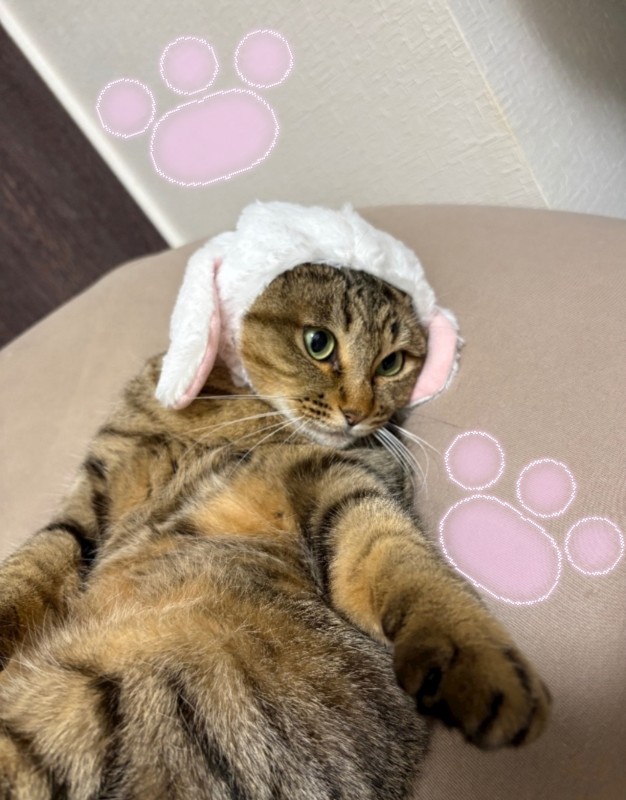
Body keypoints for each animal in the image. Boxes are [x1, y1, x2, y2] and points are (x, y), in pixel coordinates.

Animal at [0, 264, 550, 799]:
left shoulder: (343, 482)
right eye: (319, 343)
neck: (235, 411)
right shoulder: (94, 491)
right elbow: (28, 570)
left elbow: (402, 561)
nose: (359, 414)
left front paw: (474, 655)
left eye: (392, 363)